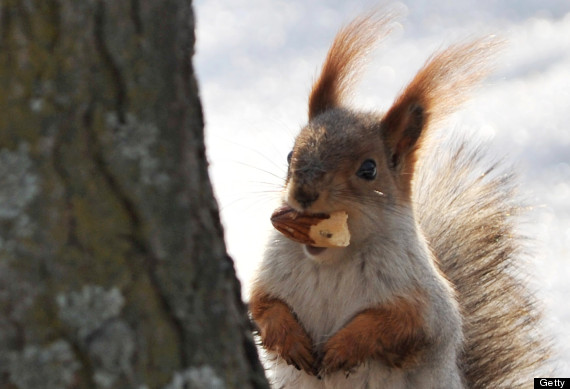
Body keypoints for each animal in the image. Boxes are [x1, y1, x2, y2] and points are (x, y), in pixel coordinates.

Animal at [246, 9, 548, 388]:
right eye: (289, 155)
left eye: (369, 169)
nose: (304, 193)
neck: (332, 260)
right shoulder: (271, 274)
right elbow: (262, 305)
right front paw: (289, 338)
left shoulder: (423, 303)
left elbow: (397, 325)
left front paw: (344, 347)